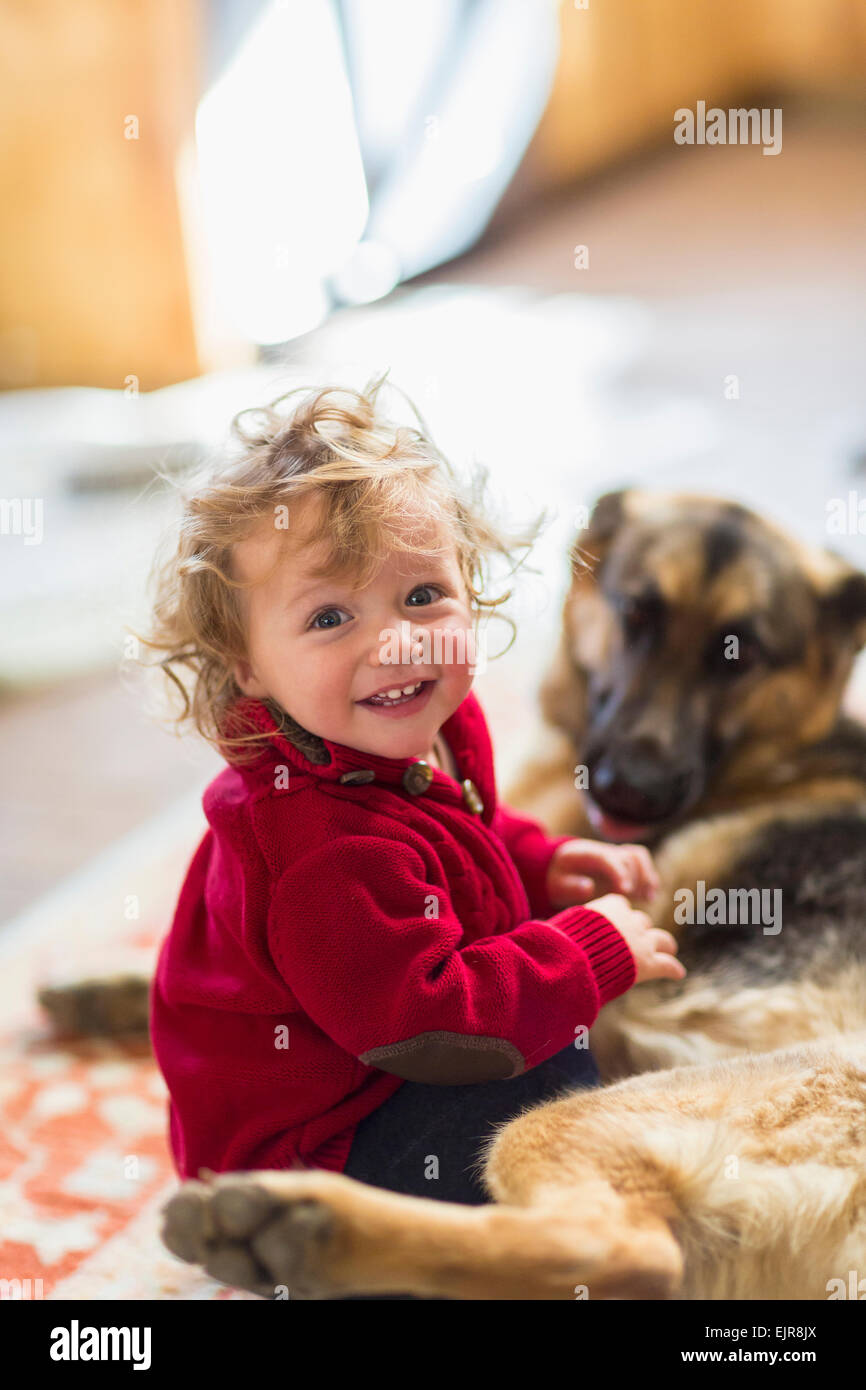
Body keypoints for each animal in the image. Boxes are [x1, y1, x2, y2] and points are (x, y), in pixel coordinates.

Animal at [74, 494, 866, 1295]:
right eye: (635, 614)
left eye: (742, 653)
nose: (628, 793)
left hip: (561, 1118)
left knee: (621, 1247)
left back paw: (300, 1227)